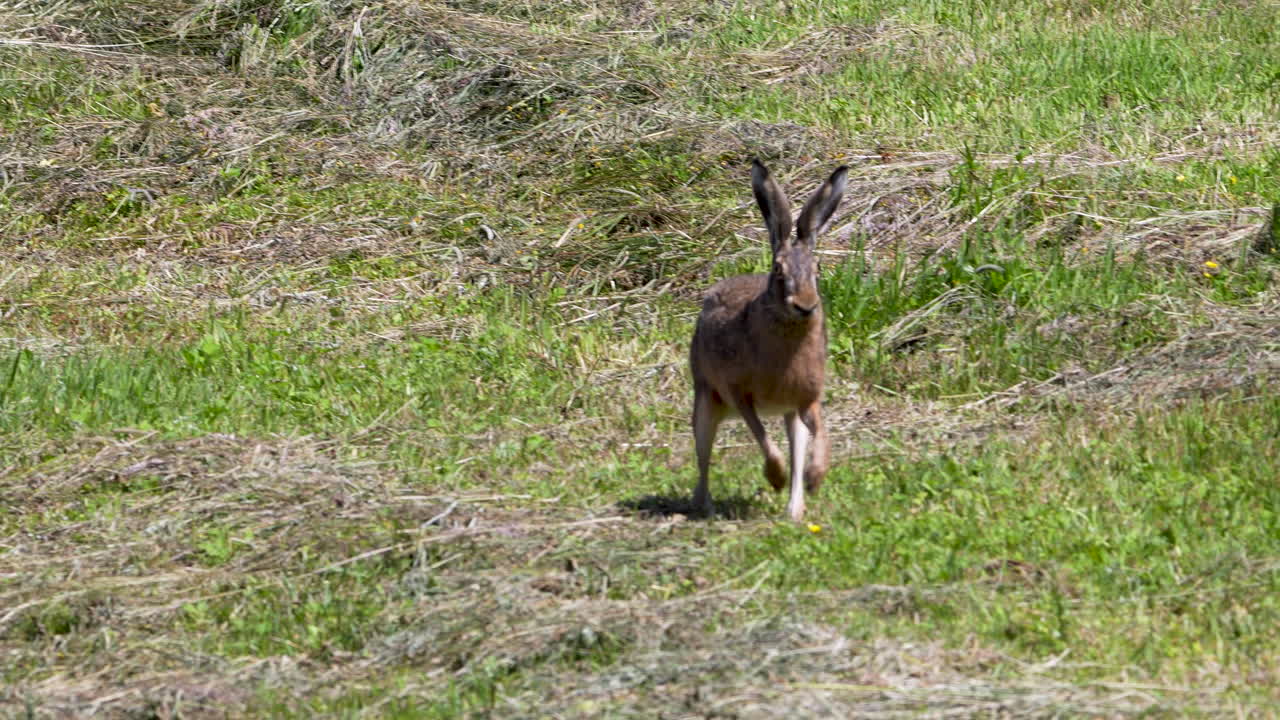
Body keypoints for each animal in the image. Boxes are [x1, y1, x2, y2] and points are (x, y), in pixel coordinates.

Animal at [690, 159, 848, 522]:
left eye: (818, 268)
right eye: (778, 270)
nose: (805, 305)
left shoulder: (807, 398)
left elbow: (821, 434)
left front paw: (817, 477)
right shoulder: (740, 394)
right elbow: (762, 438)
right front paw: (775, 478)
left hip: (789, 415)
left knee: (797, 448)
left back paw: (795, 508)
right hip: (706, 400)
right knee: (704, 456)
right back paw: (705, 507)